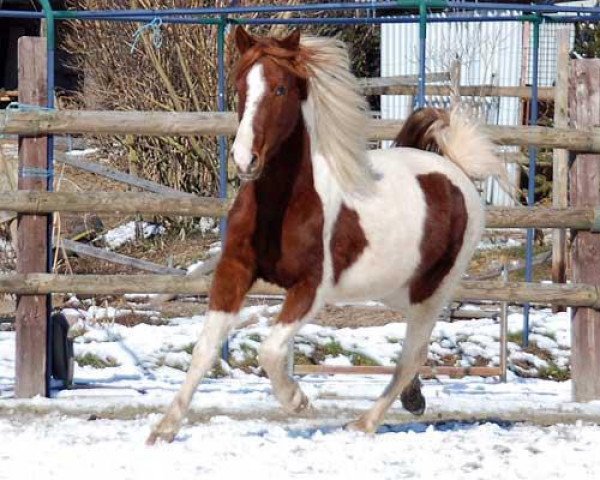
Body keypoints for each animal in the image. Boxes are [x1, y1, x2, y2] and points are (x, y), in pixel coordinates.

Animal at [146, 27, 506, 446]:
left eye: (280, 88)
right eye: (239, 86)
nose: (244, 158)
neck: (282, 207)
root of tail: (454, 170)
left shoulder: (310, 287)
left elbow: (270, 350)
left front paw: (298, 401)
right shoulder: (233, 272)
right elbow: (204, 349)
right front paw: (164, 429)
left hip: (433, 289)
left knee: (411, 355)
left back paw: (364, 423)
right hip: (396, 289)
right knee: (415, 349)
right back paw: (413, 399)